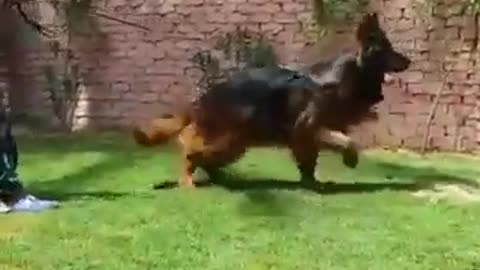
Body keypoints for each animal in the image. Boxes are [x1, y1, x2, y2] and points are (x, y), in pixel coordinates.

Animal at [133, 12, 410, 188]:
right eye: (387, 50)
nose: (409, 61)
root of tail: (201, 99)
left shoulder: (307, 137)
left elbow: (310, 162)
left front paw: (312, 183)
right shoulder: (307, 129)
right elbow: (348, 142)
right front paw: (349, 161)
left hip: (234, 145)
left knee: (206, 160)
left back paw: (222, 179)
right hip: (224, 139)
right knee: (189, 150)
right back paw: (188, 181)